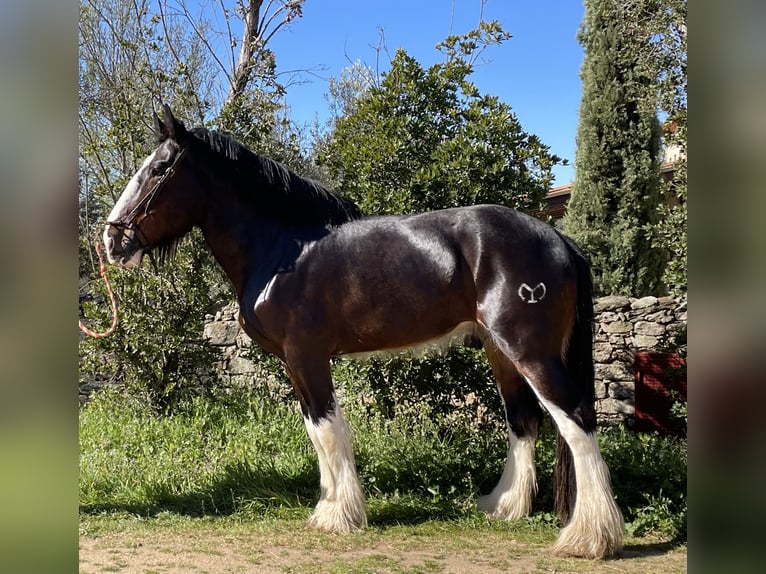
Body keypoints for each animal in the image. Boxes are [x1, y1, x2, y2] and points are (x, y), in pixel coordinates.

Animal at [105, 106, 628, 560]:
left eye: (159, 169)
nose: (112, 239)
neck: (284, 249)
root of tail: (558, 238)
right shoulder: (296, 364)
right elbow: (317, 430)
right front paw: (331, 507)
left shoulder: (307, 357)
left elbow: (327, 429)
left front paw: (339, 515)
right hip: (500, 352)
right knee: (523, 420)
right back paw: (504, 507)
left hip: (530, 351)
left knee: (576, 420)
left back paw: (589, 538)